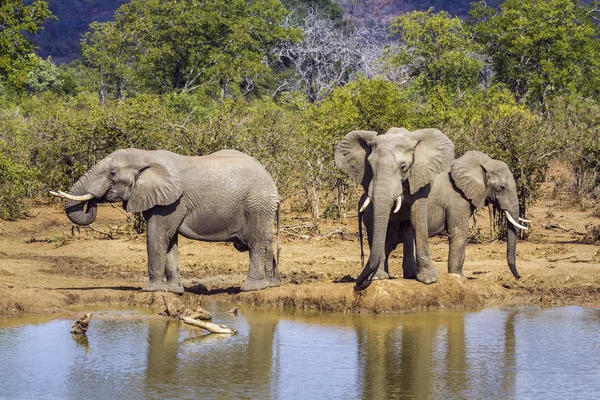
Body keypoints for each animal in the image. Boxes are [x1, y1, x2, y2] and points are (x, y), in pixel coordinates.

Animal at [50, 148, 280, 292]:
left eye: (112, 173)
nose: (94, 200)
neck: (146, 156)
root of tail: (273, 184)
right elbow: (169, 240)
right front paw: (172, 290)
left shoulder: (172, 201)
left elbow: (158, 236)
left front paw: (151, 290)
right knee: (266, 244)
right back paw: (271, 285)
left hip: (257, 205)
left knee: (256, 244)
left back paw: (250, 288)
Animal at [332, 126, 454, 288]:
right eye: (370, 167)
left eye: (403, 167)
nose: (358, 283)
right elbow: (375, 221)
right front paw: (378, 278)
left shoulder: (420, 175)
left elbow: (417, 217)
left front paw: (428, 280)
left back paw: (410, 275)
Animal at [358, 150, 528, 282]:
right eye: (501, 188)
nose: (518, 277)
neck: (481, 164)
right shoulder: (458, 199)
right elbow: (459, 232)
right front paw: (460, 277)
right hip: (371, 215)